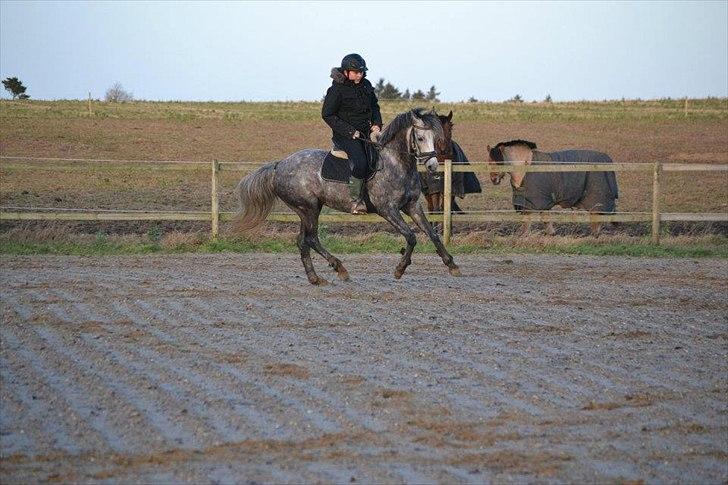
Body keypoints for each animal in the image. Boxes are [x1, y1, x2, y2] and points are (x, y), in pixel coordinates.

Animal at [233, 108, 460, 284]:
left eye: (436, 138)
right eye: (420, 138)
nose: (432, 166)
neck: (397, 164)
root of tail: (279, 165)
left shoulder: (412, 206)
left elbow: (432, 234)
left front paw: (452, 264)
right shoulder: (388, 210)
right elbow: (411, 236)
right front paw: (400, 269)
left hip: (306, 210)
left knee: (302, 241)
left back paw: (315, 278)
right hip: (309, 208)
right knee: (311, 238)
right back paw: (339, 268)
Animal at [486, 139, 616, 235]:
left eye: (499, 162)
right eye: (489, 162)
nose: (493, 179)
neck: (525, 167)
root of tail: (608, 160)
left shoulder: (538, 201)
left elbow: (532, 220)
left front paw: (525, 235)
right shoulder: (535, 201)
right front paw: (550, 233)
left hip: (597, 199)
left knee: (597, 216)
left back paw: (595, 234)